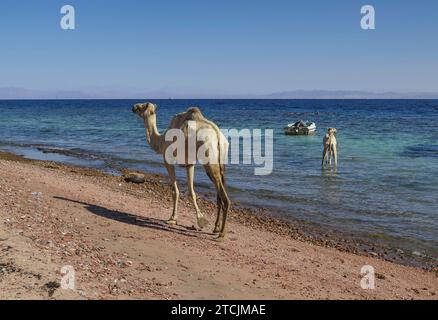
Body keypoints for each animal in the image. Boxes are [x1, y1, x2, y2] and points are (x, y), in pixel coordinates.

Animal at [132, 102, 231, 240]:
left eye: (142, 106)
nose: (134, 107)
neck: (161, 141)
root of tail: (218, 136)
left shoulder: (168, 161)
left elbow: (175, 191)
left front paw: (172, 218)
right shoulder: (190, 164)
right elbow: (191, 192)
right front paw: (200, 219)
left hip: (209, 160)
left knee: (224, 197)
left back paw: (221, 234)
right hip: (221, 165)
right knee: (219, 195)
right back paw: (216, 228)